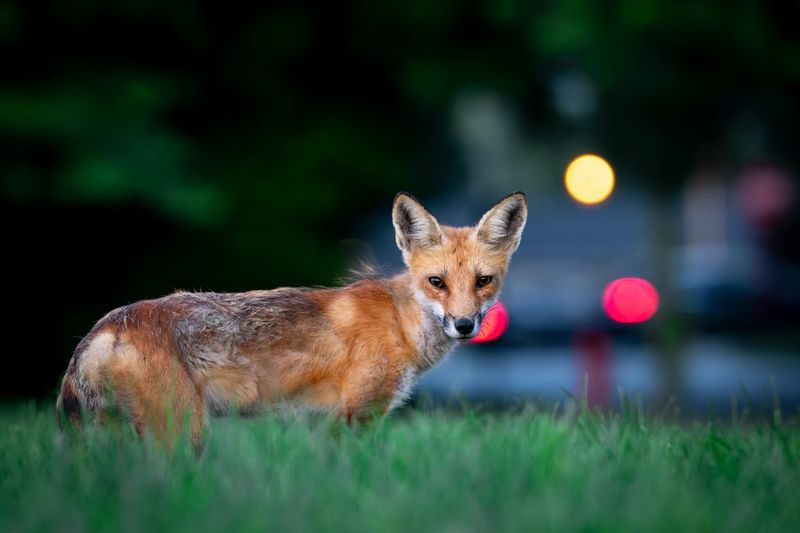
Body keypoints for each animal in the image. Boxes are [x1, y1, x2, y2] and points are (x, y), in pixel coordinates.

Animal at [56, 191, 527, 445]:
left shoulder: (320, 423)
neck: (400, 323)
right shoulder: (357, 414)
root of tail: (103, 327)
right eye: (436, 282)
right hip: (182, 432)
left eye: (484, 281)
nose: (464, 326)